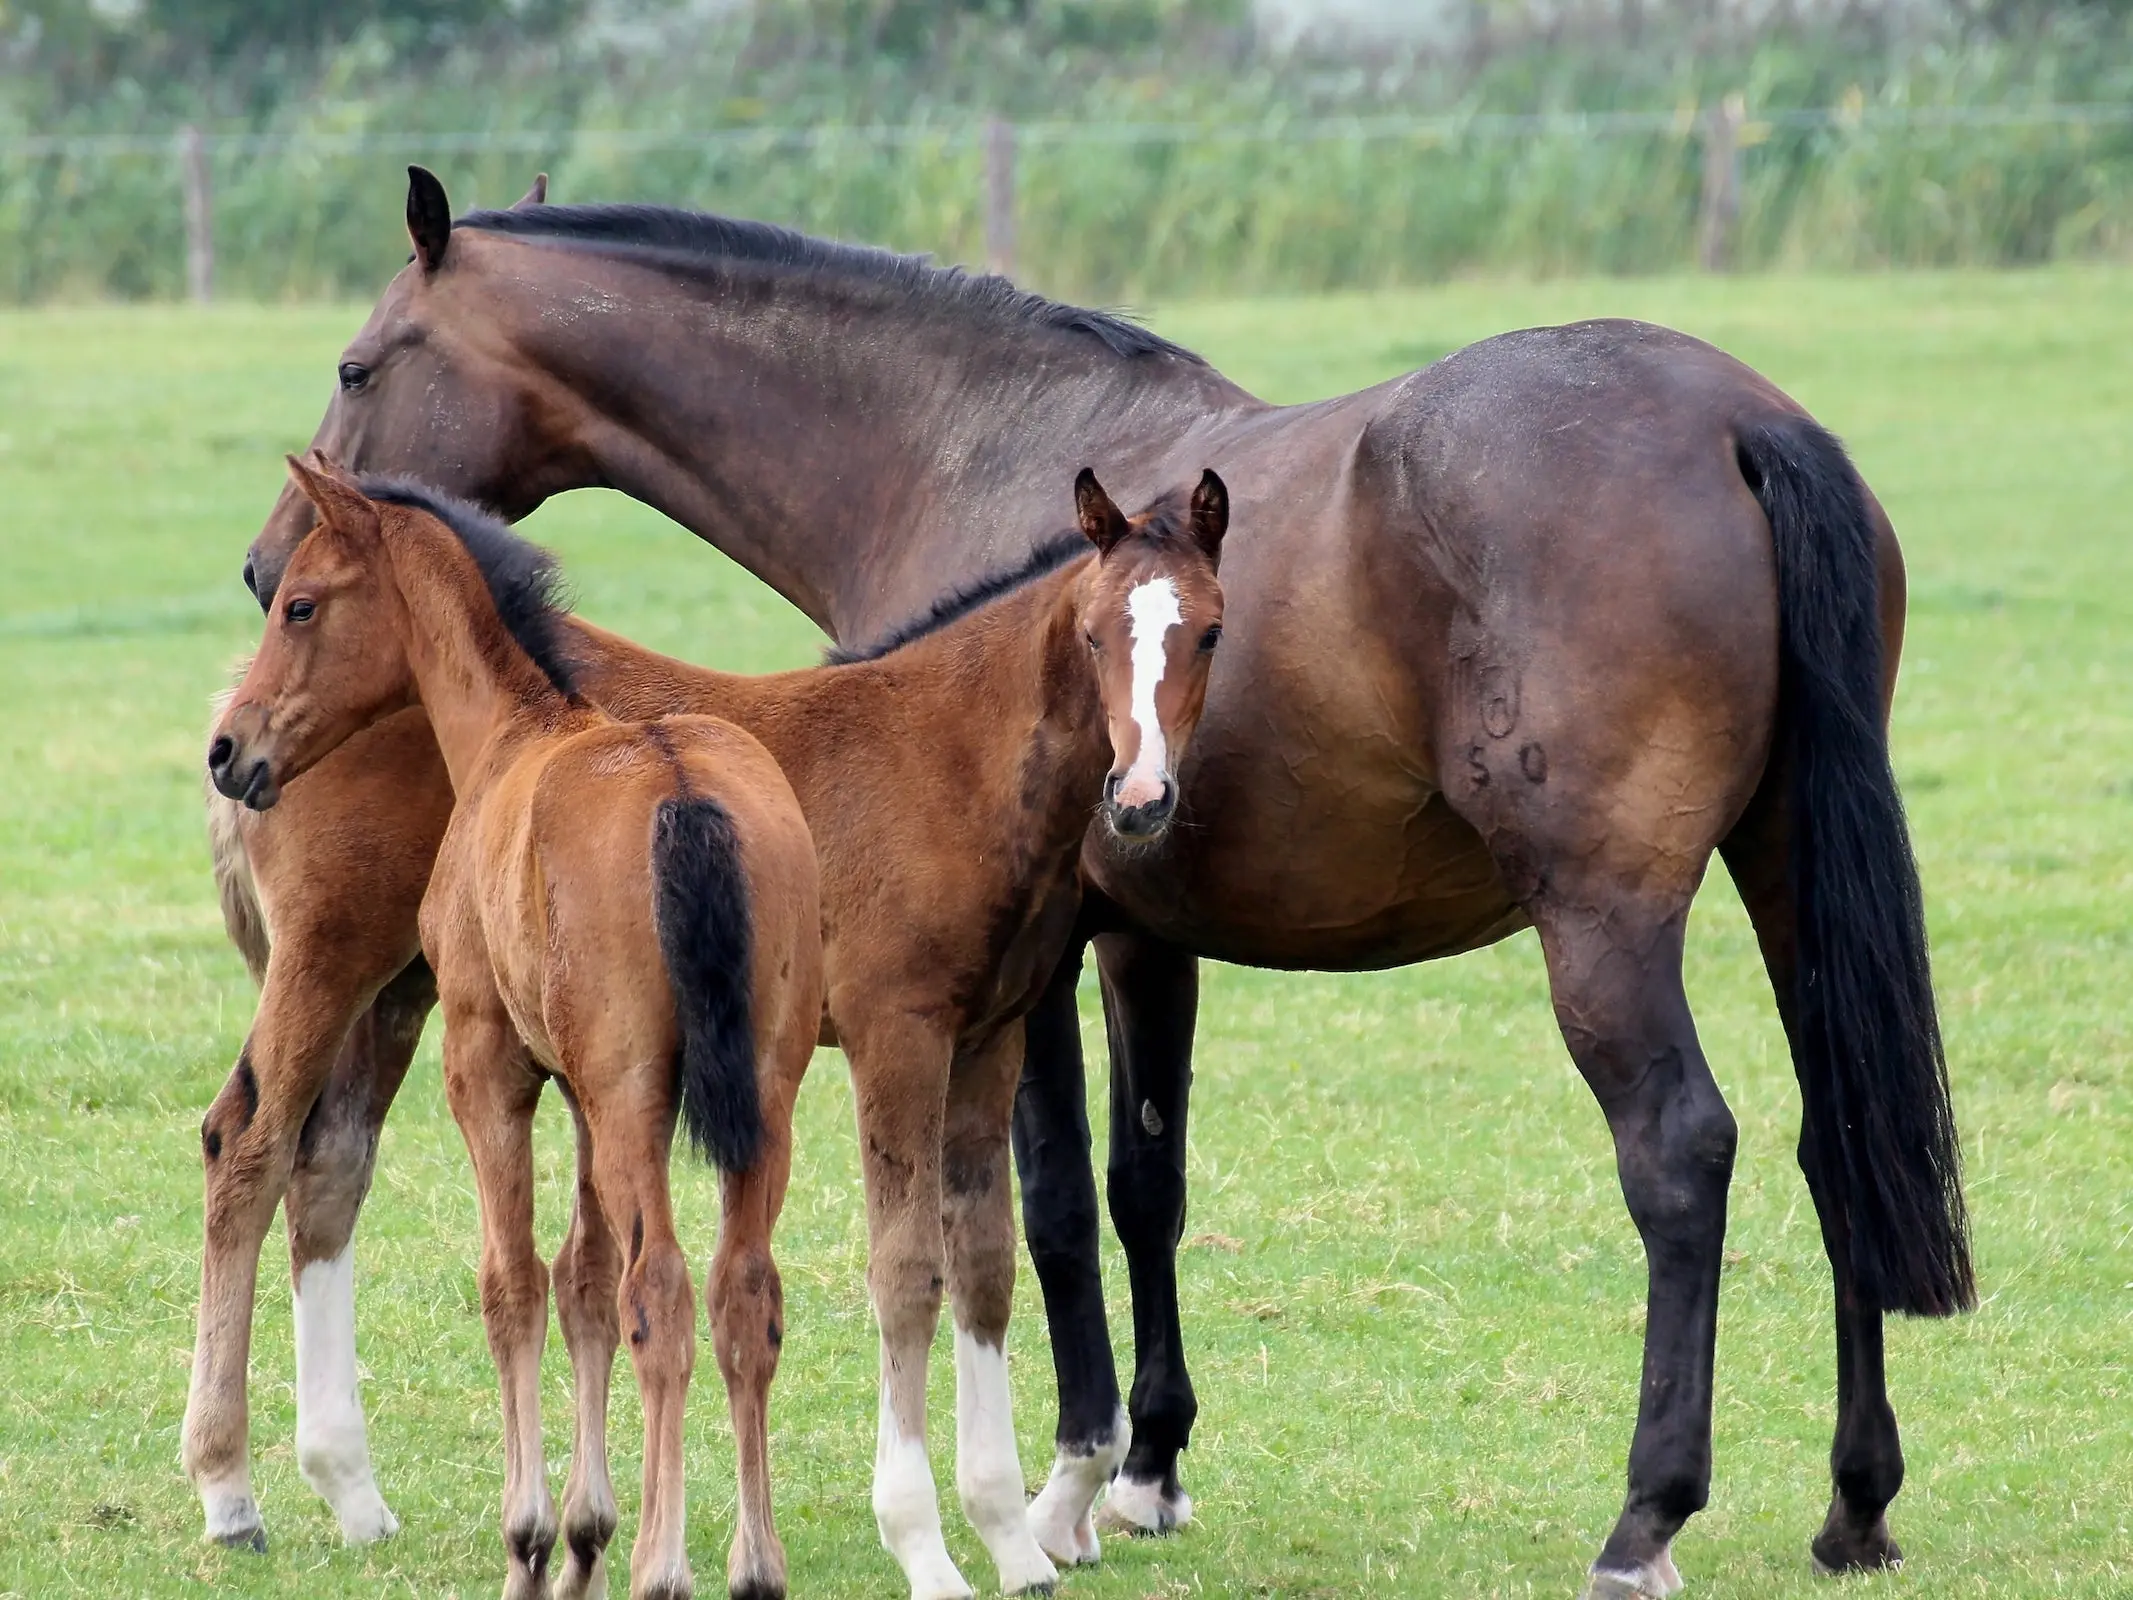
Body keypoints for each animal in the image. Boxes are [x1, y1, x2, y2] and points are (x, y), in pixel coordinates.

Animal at [207, 454, 823, 1600]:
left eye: (301, 603)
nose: (230, 748)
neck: (515, 730)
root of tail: (683, 791)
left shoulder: (488, 1063)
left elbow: (514, 1283)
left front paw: (532, 1539)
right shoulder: (577, 1090)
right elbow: (581, 1280)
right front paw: (585, 1534)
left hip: (632, 1096)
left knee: (663, 1293)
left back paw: (664, 1565)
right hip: (760, 1093)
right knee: (741, 1296)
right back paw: (752, 1566)